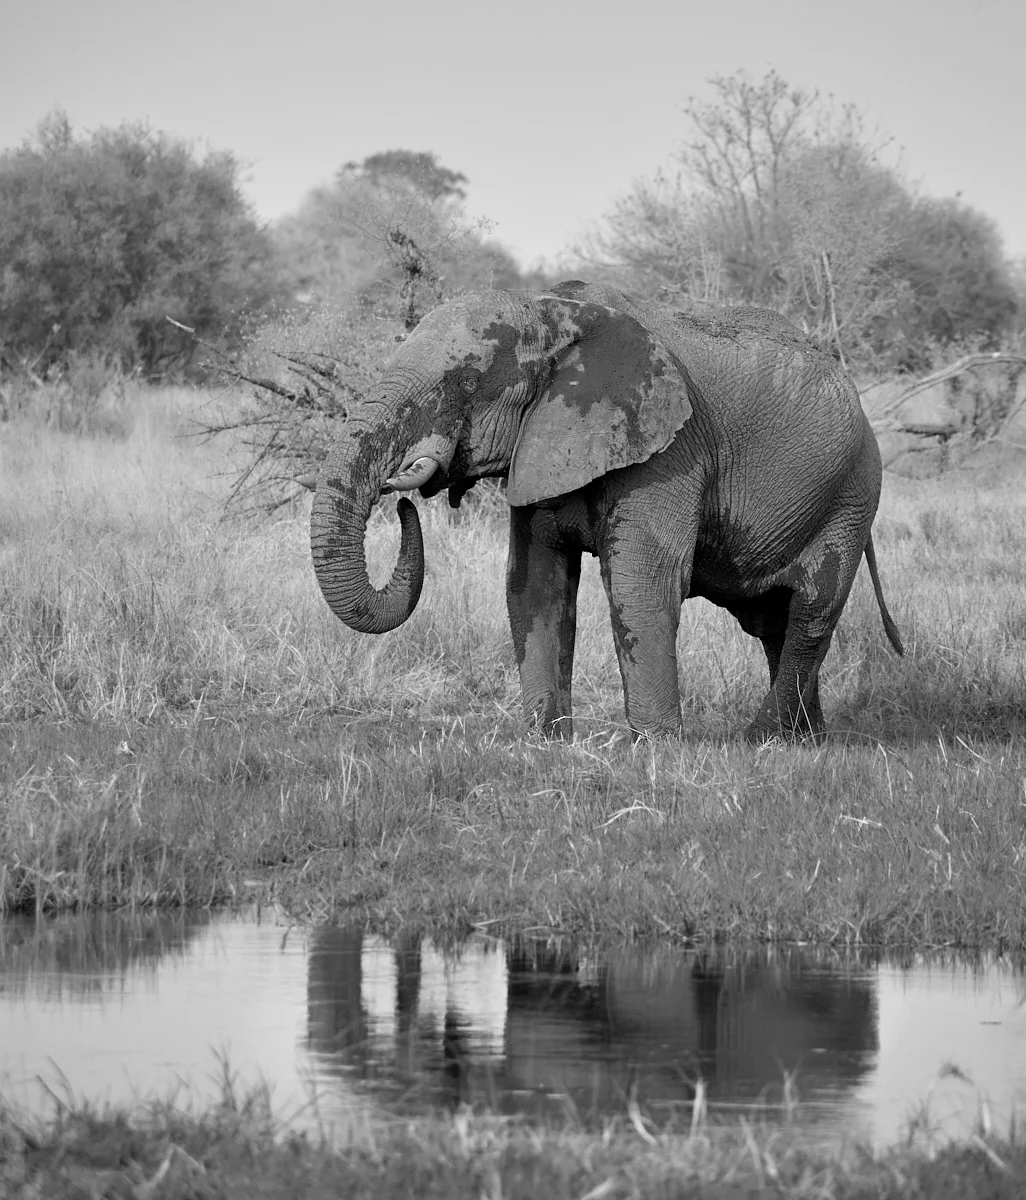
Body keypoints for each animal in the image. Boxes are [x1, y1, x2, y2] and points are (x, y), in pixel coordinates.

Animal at [310, 281, 903, 740]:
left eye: (465, 381)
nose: (401, 497)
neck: (551, 313)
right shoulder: (541, 444)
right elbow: (533, 584)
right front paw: (546, 742)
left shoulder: (668, 451)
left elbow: (641, 581)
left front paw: (655, 749)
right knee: (772, 623)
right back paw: (804, 742)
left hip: (853, 495)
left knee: (812, 612)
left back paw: (760, 739)